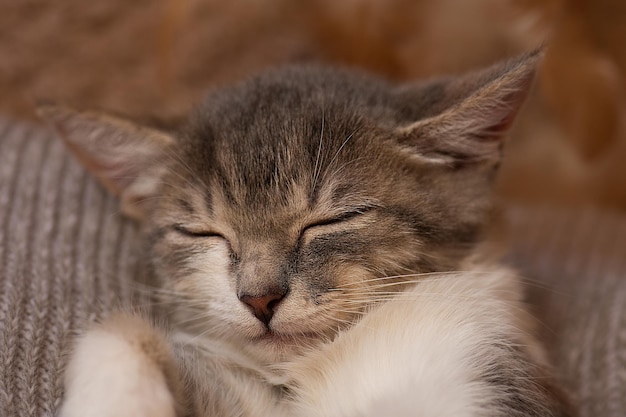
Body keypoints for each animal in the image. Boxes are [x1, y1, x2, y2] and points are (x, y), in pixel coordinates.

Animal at [39, 51, 572, 416]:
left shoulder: (487, 367)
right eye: (202, 232)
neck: (319, 362)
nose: (259, 298)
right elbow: (117, 330)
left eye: (332, 220)